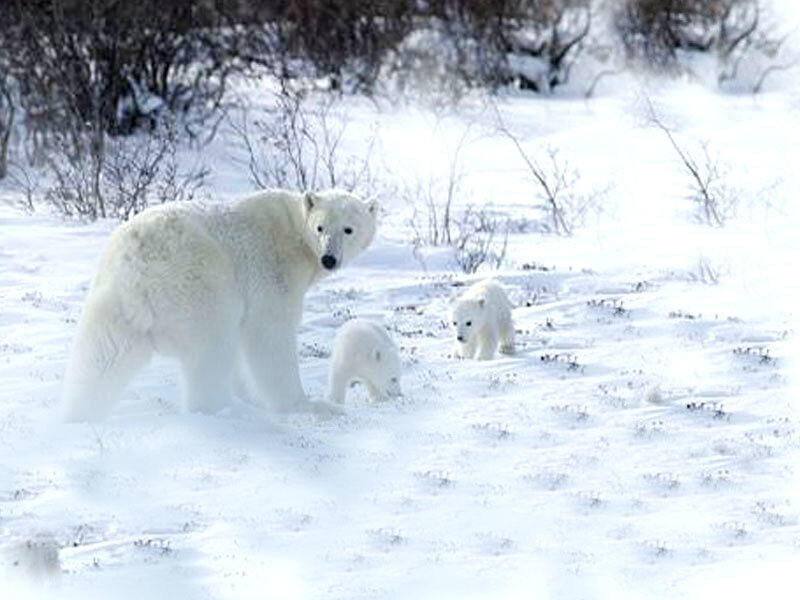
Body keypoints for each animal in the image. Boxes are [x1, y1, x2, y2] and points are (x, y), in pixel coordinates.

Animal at [61, 188, 378, 421]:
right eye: (320, 227)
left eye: (348, 229)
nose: (329, 258)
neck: (295, 234)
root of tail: (137, 268)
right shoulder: (271, 271)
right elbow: (269, 335)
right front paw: (303, 404)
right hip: (201, 282)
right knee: (211, 349)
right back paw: (226, 409)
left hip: (113, 301)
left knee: (101, 358)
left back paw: (77, 415)